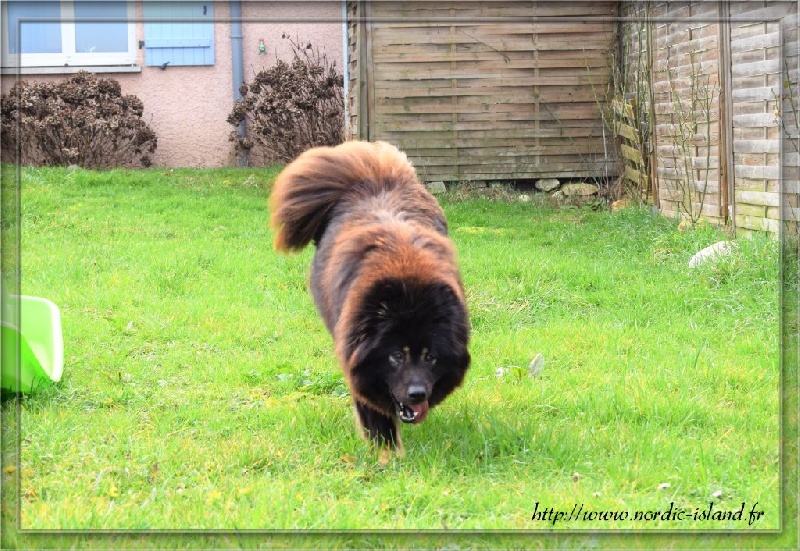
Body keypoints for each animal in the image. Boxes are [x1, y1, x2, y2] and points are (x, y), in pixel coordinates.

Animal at [269, 141, 470, 451]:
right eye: (396, 356)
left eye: (431, 357)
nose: (417, 394)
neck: (407, 279)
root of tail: (371, 174)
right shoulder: (355, 356)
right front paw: (385, 451)